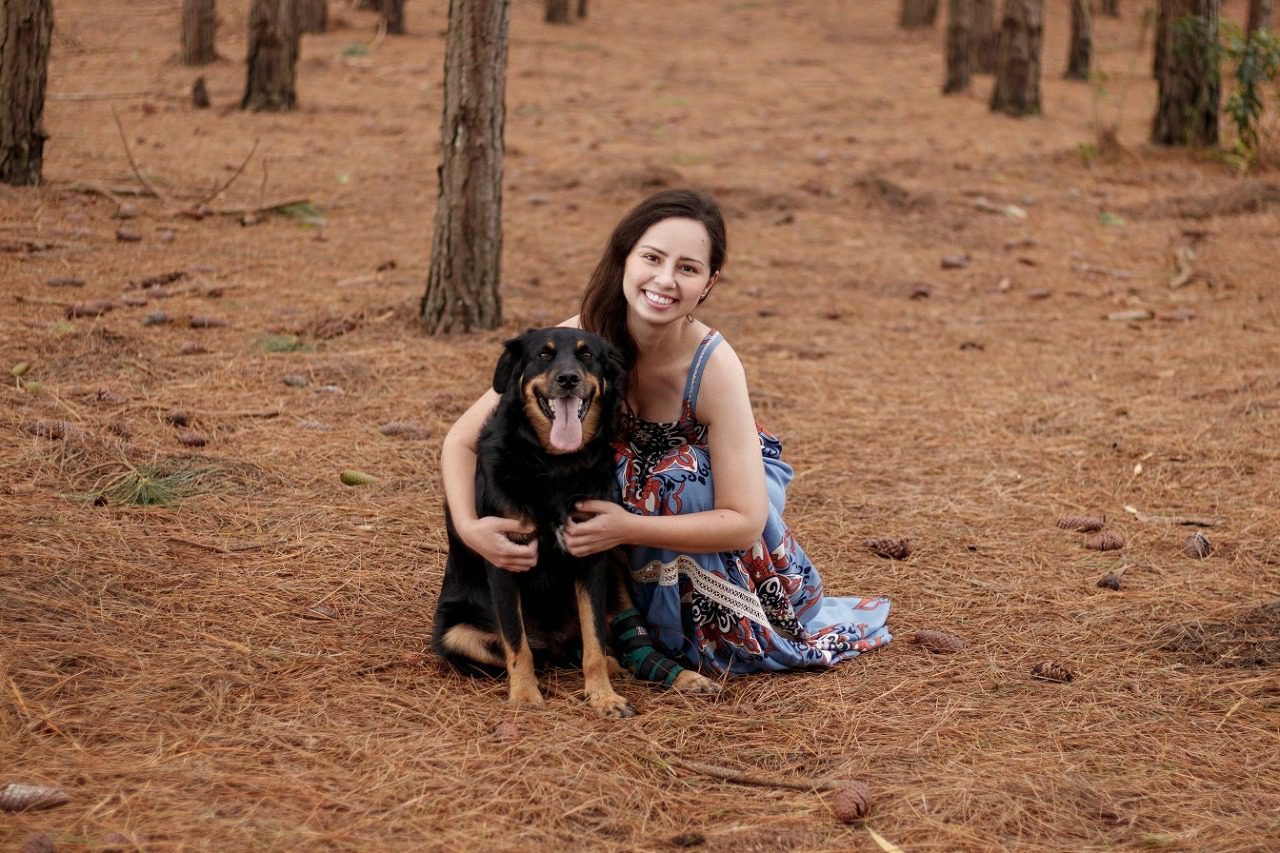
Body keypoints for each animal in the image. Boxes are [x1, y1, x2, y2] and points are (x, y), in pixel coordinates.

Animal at [430, 327, 634, 712]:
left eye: (587, 355)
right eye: (544, 355)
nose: (567, 379)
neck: (554, 465)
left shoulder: (592, 556)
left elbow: (594, 641)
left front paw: (602, 696)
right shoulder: (505, 558)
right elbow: (516, 642)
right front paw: (525, 695)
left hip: (616, 566)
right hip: (455, 634)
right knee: (533, 652)